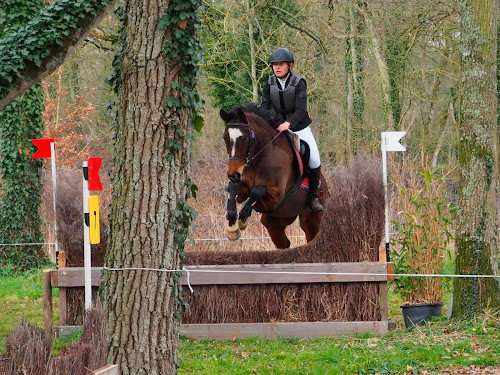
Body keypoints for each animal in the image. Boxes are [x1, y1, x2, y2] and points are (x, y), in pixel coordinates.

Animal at [222, 104, 330, 250]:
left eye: (244, 138)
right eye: (225, 138)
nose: (232, 174)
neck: (261, 156)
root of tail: (325, 187)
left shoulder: (276, 198)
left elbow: (257, 190)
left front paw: (243, 218)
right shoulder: (243, 191)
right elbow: (235, 189)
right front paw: (232, 223)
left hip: (312, 219)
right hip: (276, 220)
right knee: (284, 243)